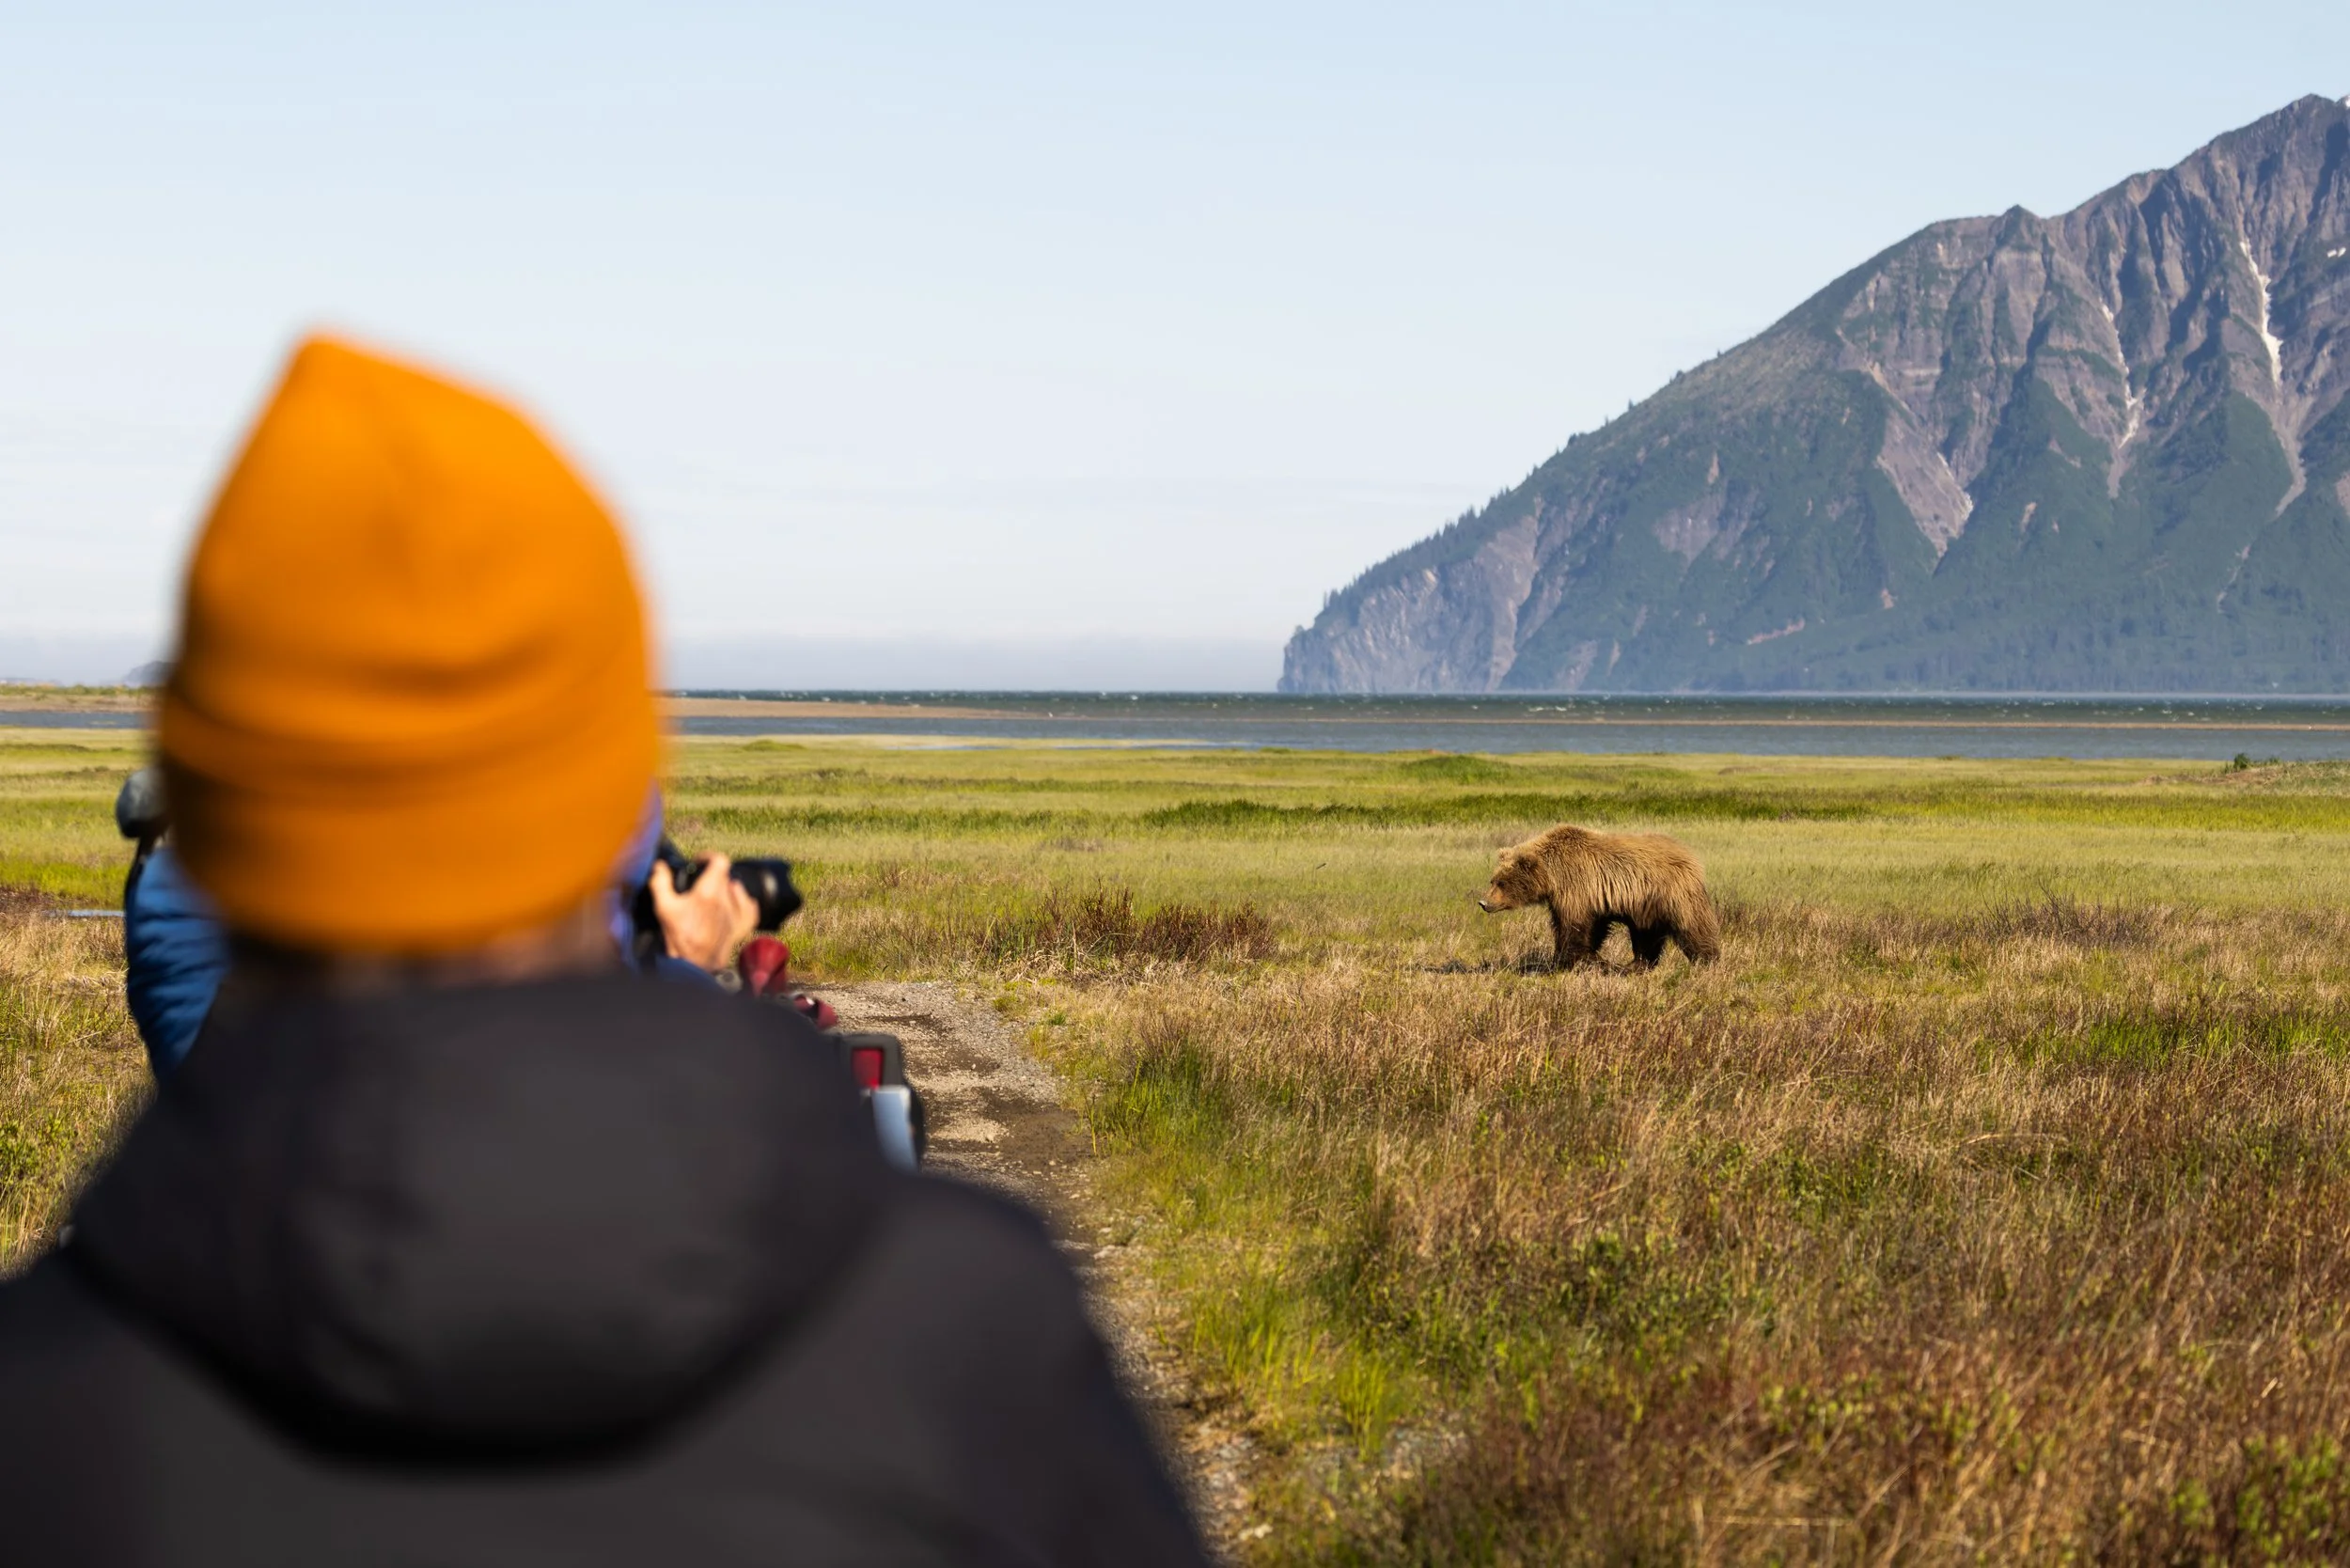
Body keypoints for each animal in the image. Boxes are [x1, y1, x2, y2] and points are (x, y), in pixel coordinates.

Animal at [1476, 824, 1721, 970]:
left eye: (1502, 883)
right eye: (1493, 880)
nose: (1484, 903)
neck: (1552, 876)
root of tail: (1691, 856)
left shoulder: (1576, 886)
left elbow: (1574, 928)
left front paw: (1575, 960)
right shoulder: (1580, 897)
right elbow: (1588, 928)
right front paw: (1588, 958)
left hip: (1673, 892)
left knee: (1693, 926)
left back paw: (1708, 960)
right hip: (1646, 906)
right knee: (1646, 935)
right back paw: (1635, 965)